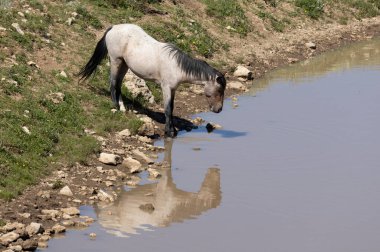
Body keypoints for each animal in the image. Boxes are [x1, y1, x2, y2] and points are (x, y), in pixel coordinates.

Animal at [77, 23, 226, 138]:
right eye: (219, 90)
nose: (219, 109)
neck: (176, 66)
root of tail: (113, 27)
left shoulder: (173, 89)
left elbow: (171, 108)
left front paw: (172, 130)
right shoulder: (166, 87)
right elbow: (168, 109)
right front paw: (169, 132)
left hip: (124, 65)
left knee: (118, 85)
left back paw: (123, 107)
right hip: (115, 61)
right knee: (113, 84)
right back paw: (116, 107)